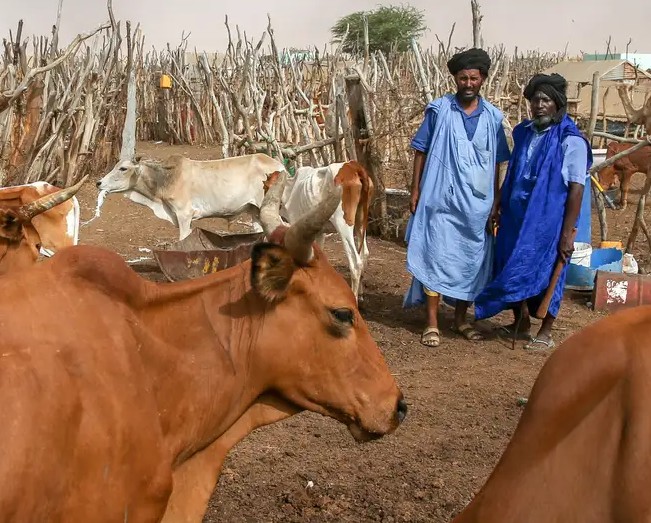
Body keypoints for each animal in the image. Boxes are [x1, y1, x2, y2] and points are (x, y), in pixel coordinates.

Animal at [264, 162, 376, 304]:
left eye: (265, 186)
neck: (290, 188)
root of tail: (353, 166)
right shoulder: (319, 233)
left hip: (343, 223)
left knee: (356, 262)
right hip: (361, 223)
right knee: (364, 254)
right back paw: (360, 294)